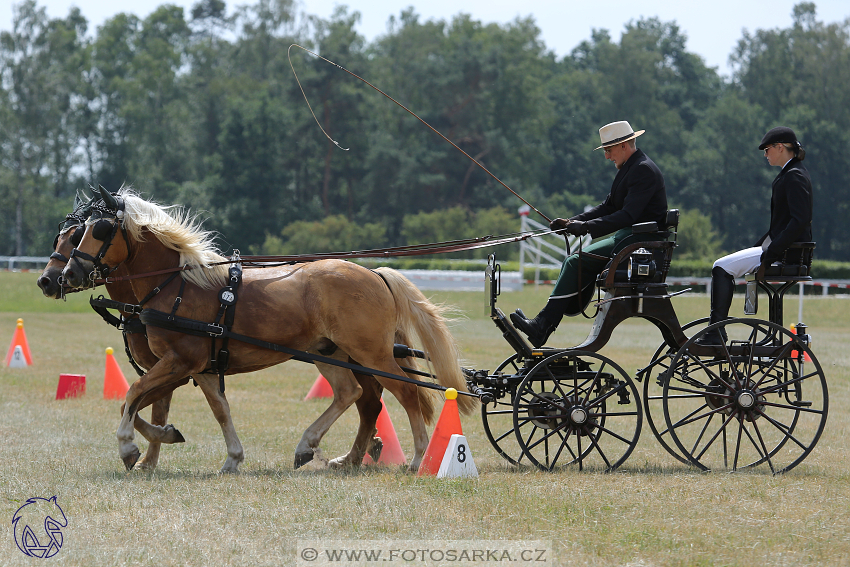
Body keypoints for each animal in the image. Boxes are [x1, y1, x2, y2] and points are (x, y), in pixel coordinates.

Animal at [63, 189, 474, 472]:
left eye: (100, 229)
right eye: (77, 232)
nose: (65, 275)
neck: (177, 284)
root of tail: (375, 274)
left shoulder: (180, 360)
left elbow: (132, 394)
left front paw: (129, 448)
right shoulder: (199, 367)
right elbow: (217, 409)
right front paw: (228, 456)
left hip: (371, 354)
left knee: (406, 393)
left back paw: (418, 457)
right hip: (330, 353)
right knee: (354, 394)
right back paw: (321, 449)